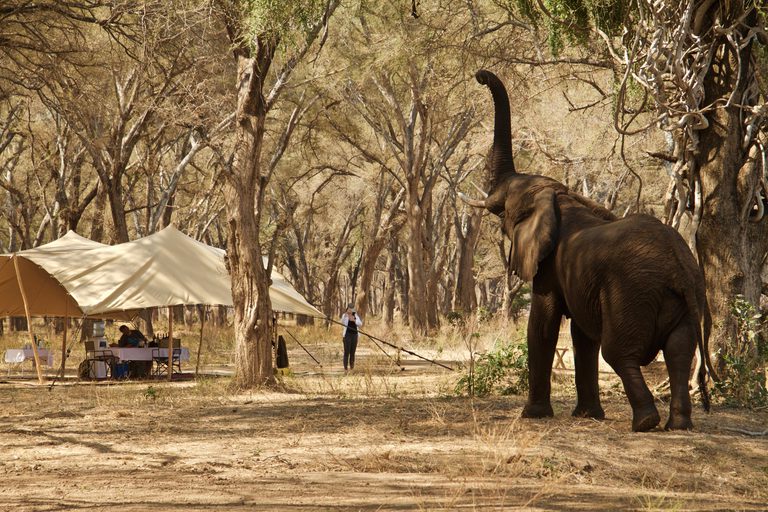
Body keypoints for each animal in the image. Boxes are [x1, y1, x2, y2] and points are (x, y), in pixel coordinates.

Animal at [461, 69, 716, 432]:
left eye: (505, 207)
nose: (480, 76)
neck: (559, 196)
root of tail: (678, 266)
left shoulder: (548, 267)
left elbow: (543, 326)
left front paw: (533, 415)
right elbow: (581, 335)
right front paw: (587, 415)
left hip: (631, 293)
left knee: (619, 353)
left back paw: (645, 422)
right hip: (687, 294)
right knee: (679, 351)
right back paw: (677, 425)